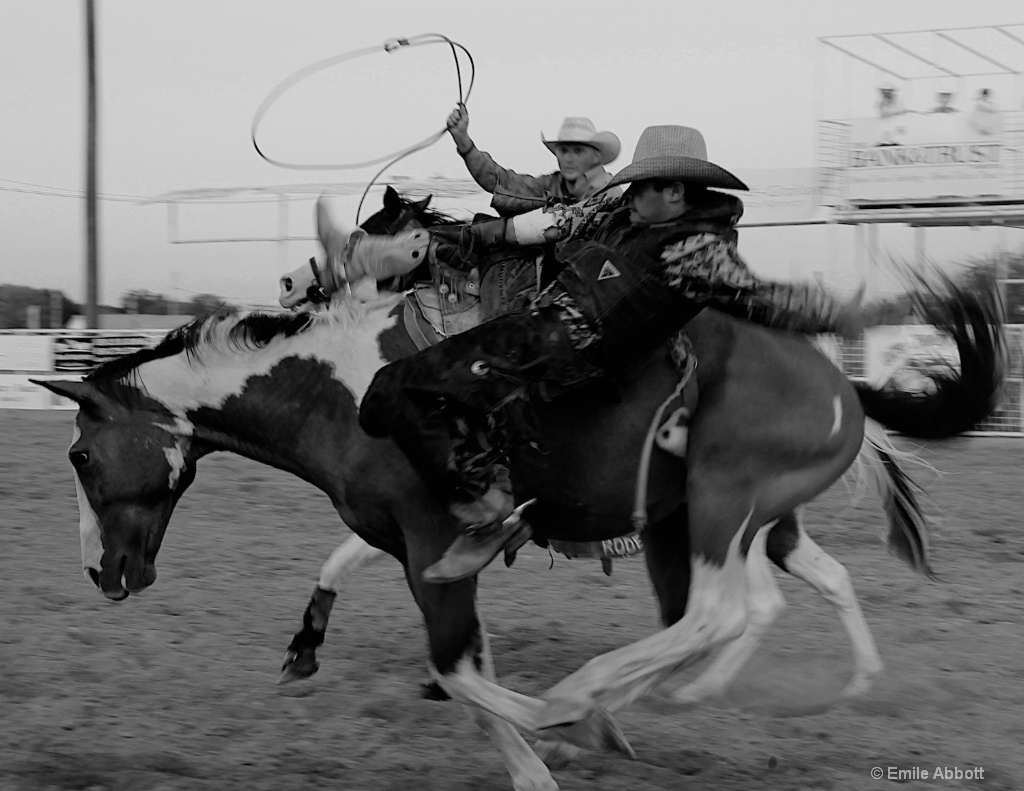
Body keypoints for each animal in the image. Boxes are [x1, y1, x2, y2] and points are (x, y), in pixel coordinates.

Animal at [36, 197, 1003, 790]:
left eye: (81, 456)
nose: (100, 575)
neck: (344, 383)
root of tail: (842, 385)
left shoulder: (433, 540)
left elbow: (459, 667)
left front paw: (568, 730)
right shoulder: (413, 545)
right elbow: (457, 658)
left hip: (725, 503)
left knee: (731, 609)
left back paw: (606, 695)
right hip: (736, 520)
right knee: (789, 589)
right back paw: (827, 681)